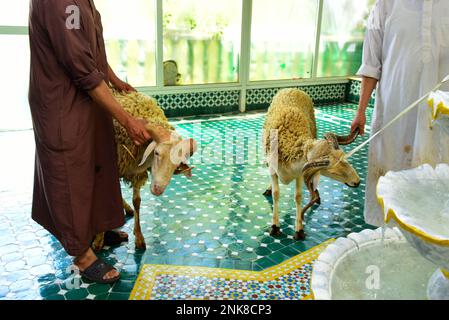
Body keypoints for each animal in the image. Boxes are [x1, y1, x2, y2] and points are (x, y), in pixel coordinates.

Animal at [92, 89, 196, 250]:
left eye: (177, 164)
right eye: (157, 153)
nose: (158, 190)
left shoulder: (138, 174)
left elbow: (137, 202)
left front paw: (139, 236)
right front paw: (98, 239)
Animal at [262, 87, 360, 240]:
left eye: (343, 156)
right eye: (331, 168)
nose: (357, 181)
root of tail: (292, 88)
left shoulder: (299, 173)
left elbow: (298, 197)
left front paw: (299, 230)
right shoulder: (273, 169)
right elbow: (276, 194)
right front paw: (275, 227)